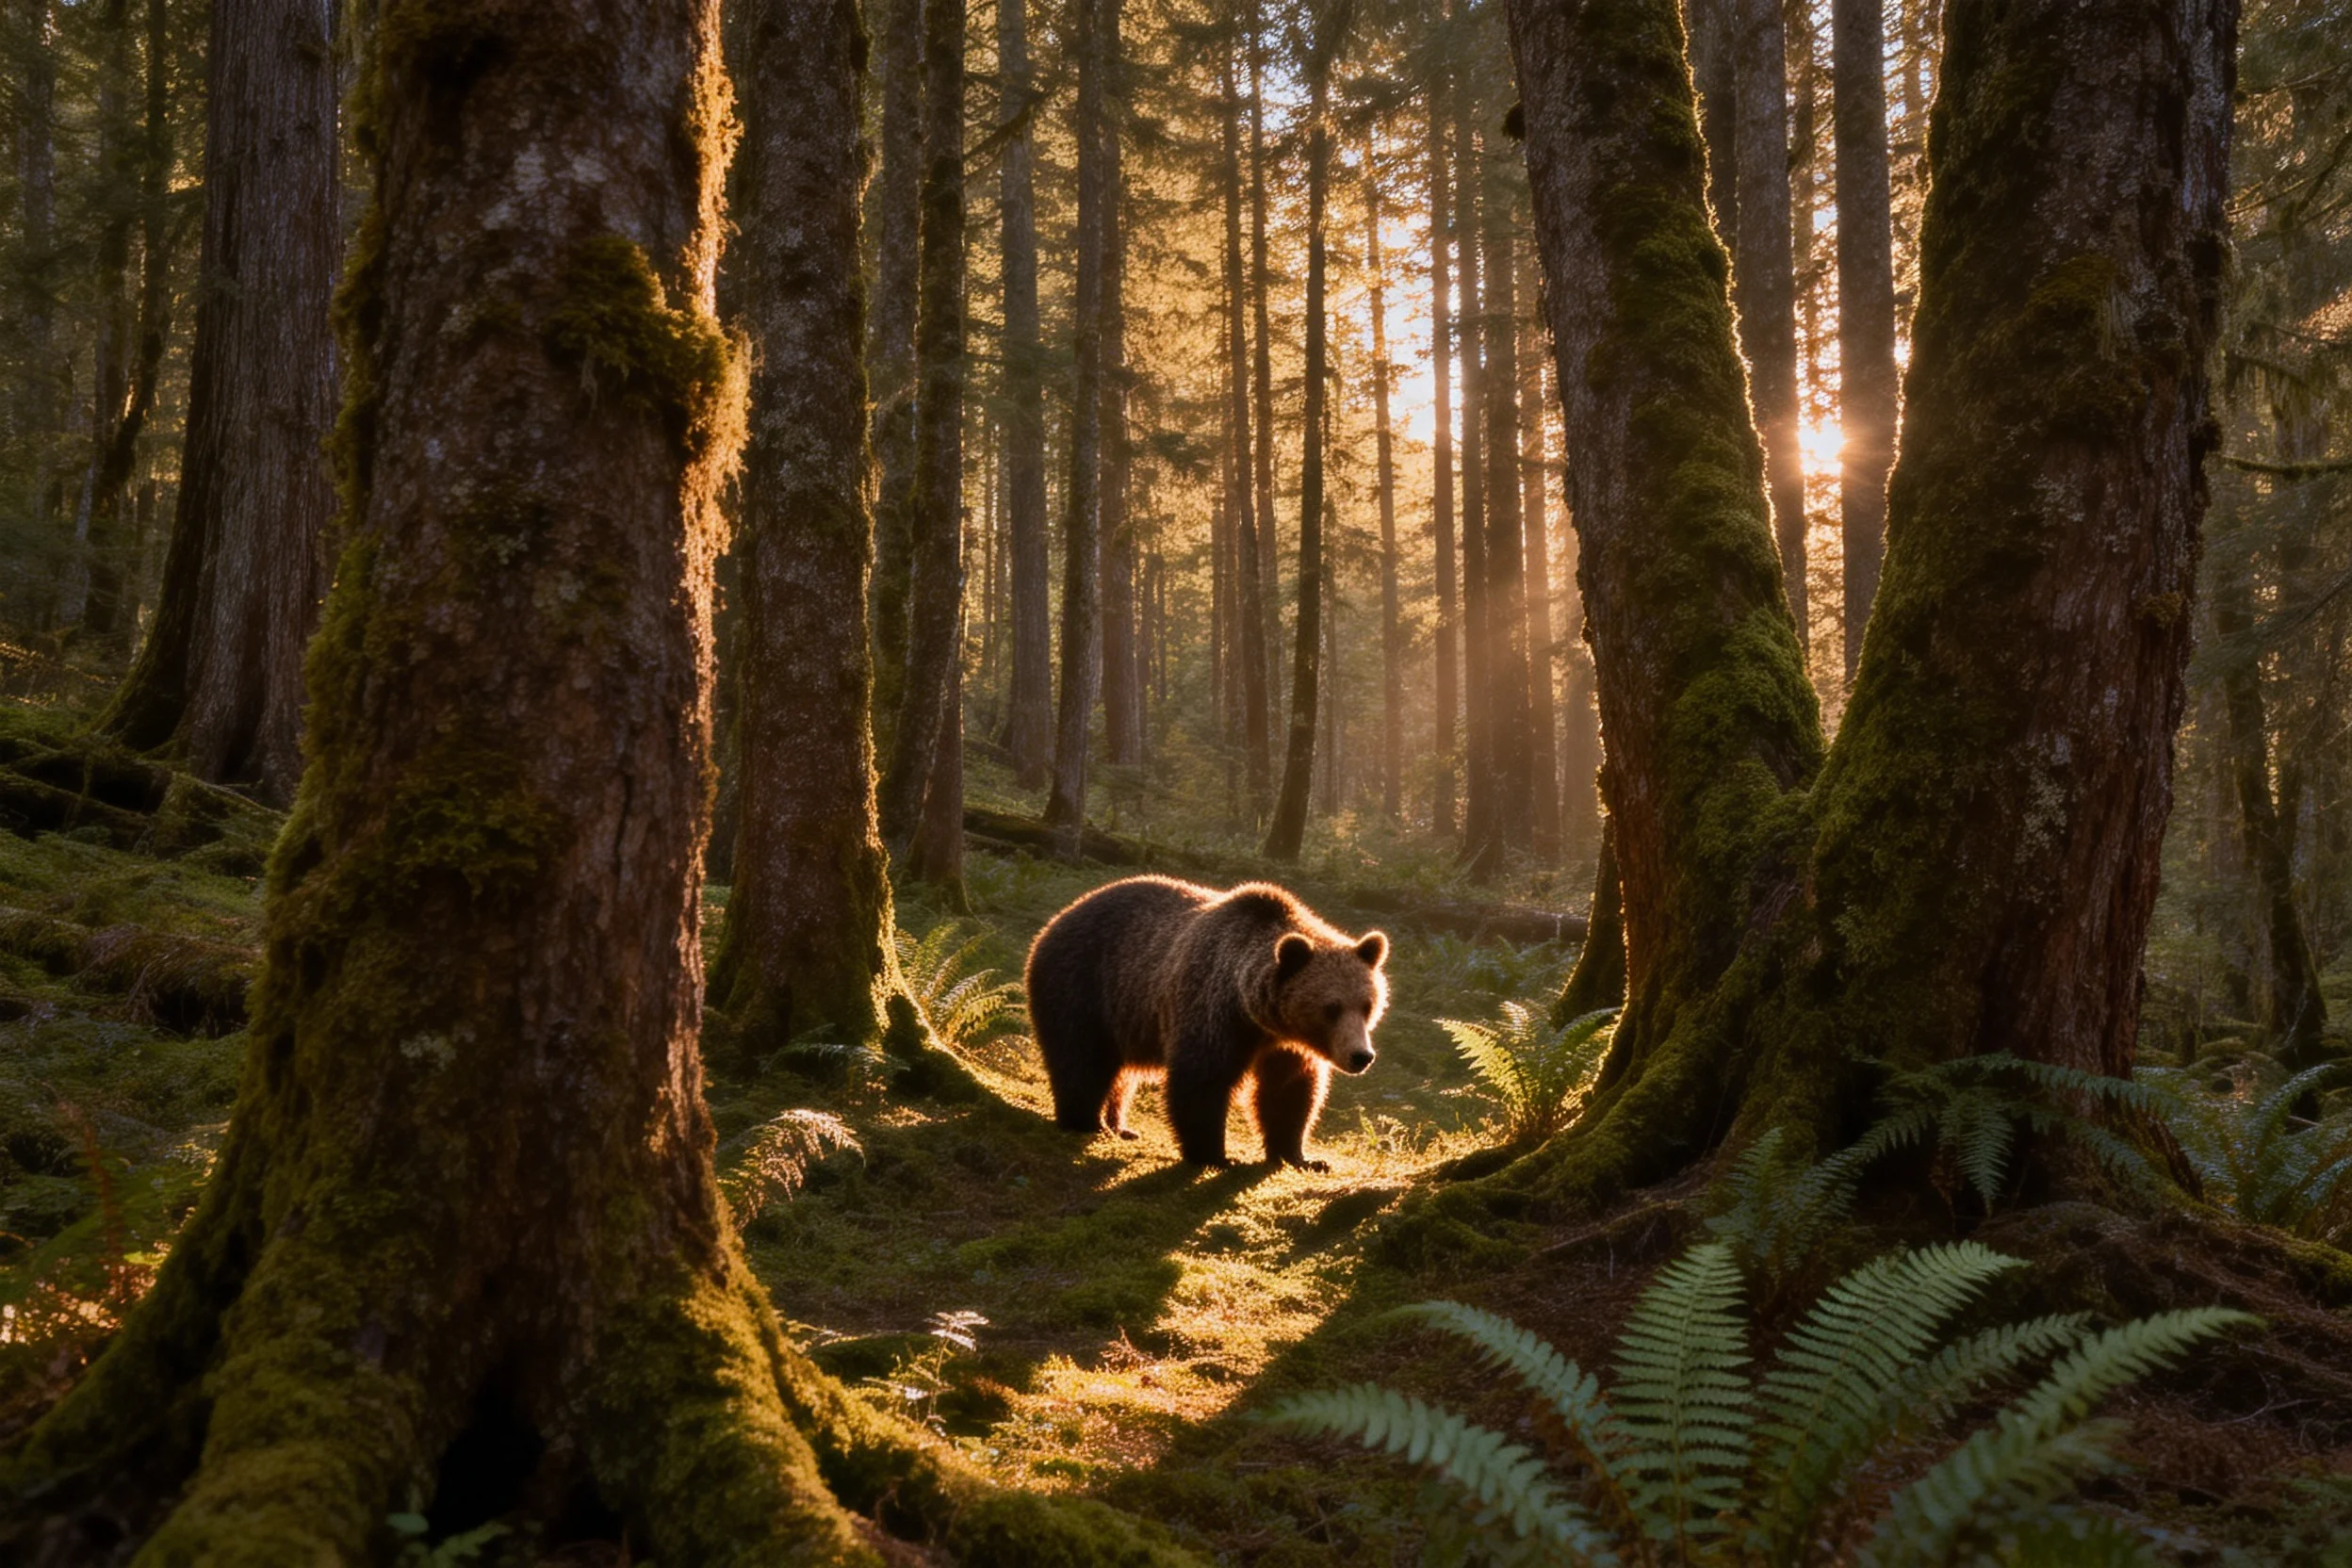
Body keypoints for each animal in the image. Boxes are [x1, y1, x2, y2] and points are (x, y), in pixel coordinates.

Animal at [1024, 876, 1389, 1170]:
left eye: (1367, 1005)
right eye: (1332, 1008)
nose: (1361, 1056)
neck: (1260, 1018)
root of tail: (1056, 919)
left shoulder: (1286, 1047)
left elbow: (1289, 1093)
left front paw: (1302, 1157)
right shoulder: (1214, 1013)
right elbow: (1200, 1080)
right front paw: (1215, 1155)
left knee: (1119, 1073)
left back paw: (1120, 1127)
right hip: (1084, 986)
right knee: (1082, 1059)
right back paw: (1086, 1121)